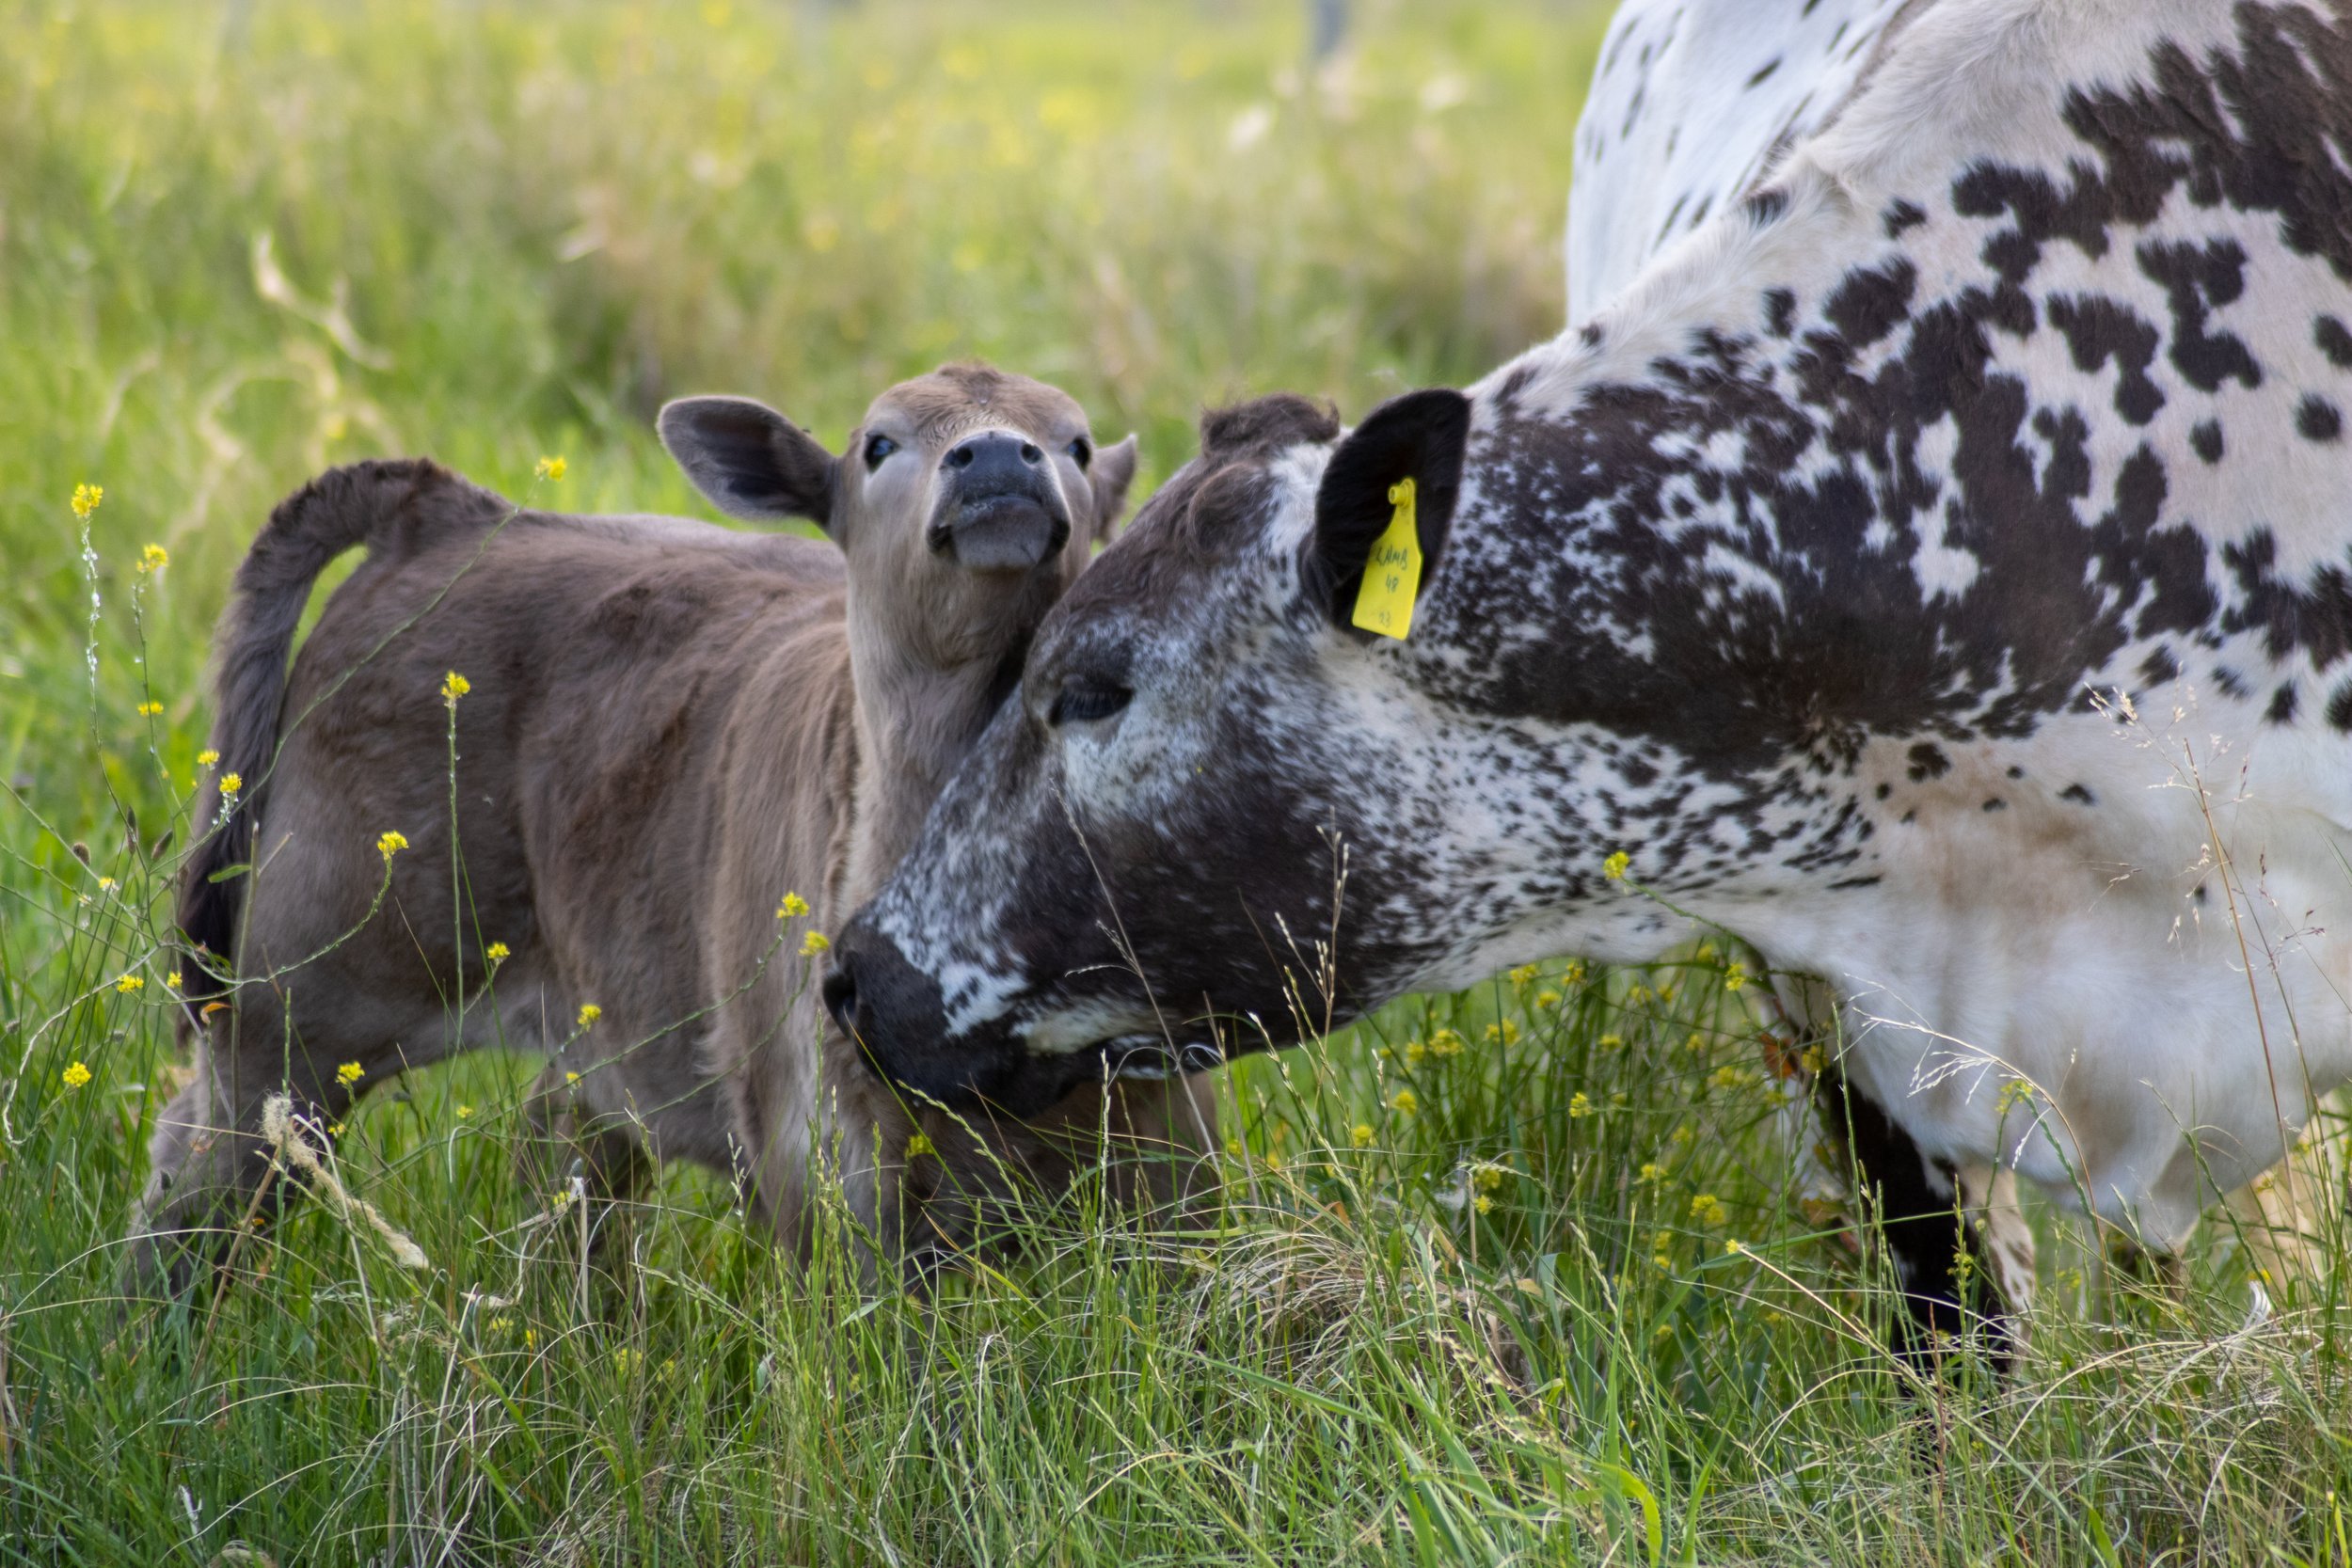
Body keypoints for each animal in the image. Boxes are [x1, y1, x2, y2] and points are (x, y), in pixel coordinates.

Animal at [131, 363, 1212, 1296]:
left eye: (1072, 441)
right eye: (878, 443)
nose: (995, 457)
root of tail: (450, 516)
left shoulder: (1163, 1144)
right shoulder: (823, 1162)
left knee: (566, 1167)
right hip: (306, 984)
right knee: (209, 1150)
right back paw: (159, 1328)